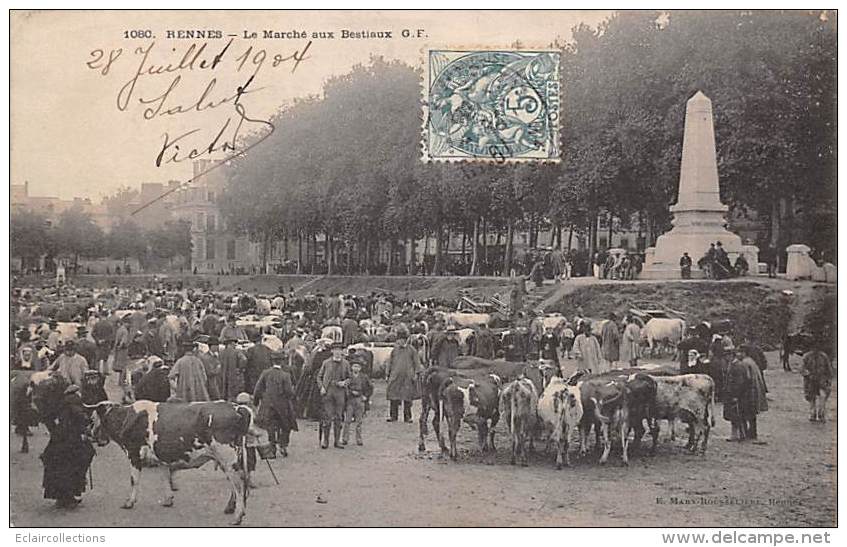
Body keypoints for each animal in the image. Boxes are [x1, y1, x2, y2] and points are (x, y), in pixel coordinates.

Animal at [87, 400, 272, 524]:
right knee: (238, 482)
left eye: (92, 419)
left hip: (227, 457)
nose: (90, 435)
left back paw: (237, 516)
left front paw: (129, 502)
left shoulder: (134, 454)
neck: (127, 417)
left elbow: (134, 480)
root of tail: (236, 407)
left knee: (238, 484)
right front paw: (168, 499)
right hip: (231, 458)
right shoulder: (161, 458)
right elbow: (164, 478)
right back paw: (231, 508)